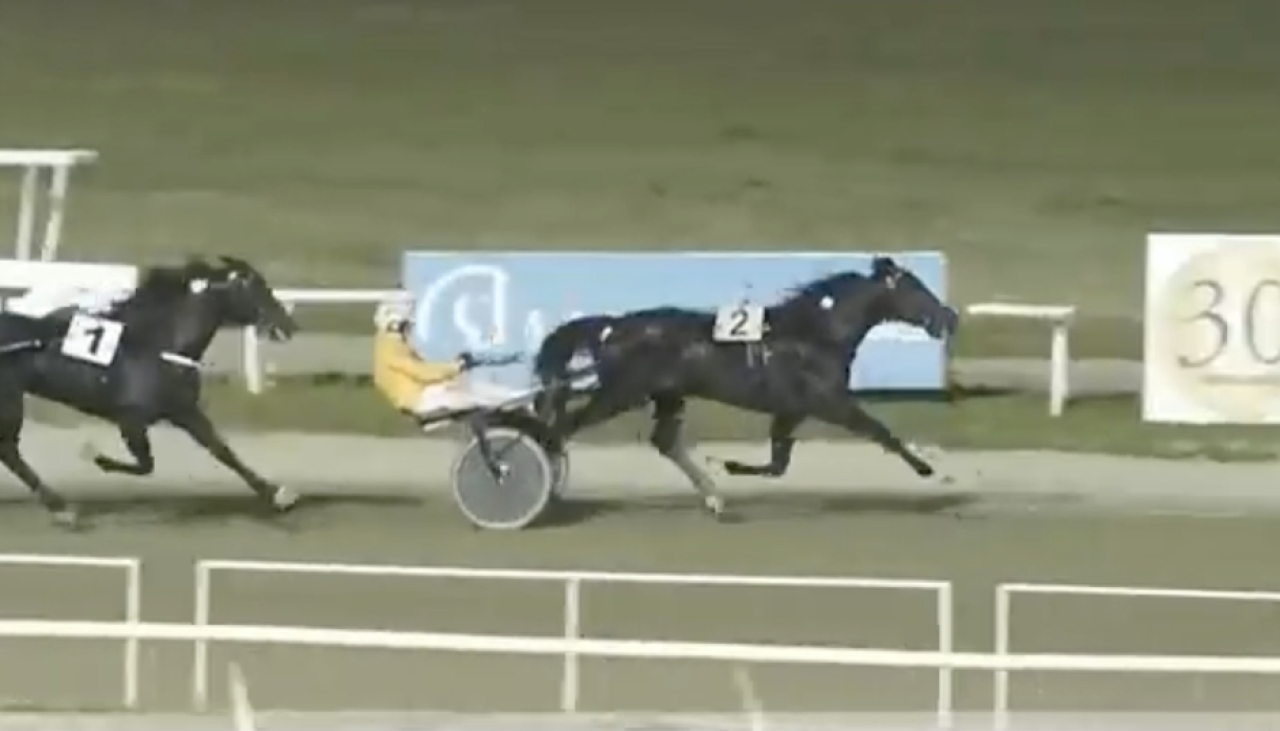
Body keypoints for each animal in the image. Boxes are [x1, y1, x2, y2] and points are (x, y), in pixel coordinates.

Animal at [0, 256, 299, 528]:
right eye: (256, 287)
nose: (289, 325)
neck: (158, 344)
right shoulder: (130, 418)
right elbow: (146, 464)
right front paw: (96, 456)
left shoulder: (184, 411)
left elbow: (223, 451)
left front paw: (277, 494)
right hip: (11, 402)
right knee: (9, 452)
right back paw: (61, 507)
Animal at [532, 256, 958, 517]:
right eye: (915, 288)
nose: (950, 317)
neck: (814, 335)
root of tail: (613, 325)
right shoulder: (829, 402)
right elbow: (879, 431)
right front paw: (924, 467)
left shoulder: (791, 410)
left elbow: (778, 464)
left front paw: (731, 465)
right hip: (621, 393)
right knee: (562, 427)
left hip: (667, 394)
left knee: (664, 441)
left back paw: (714, 498)